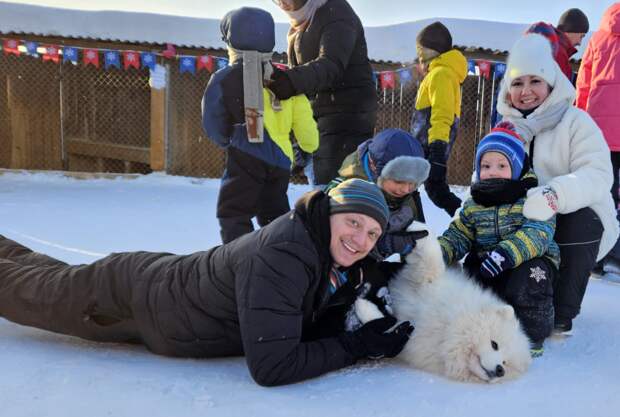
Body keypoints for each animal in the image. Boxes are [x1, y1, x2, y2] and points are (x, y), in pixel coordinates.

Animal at [356, 223, 532, 382]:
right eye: (495, 344)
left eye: (506, 362)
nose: (500, 370)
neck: (448, 327)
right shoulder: (429, 282)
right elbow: (433, 259)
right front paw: (417, 228)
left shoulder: (412, 341)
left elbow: (388, 331)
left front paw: (365, 310)